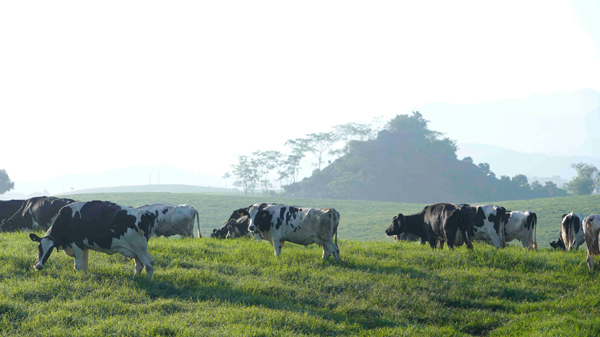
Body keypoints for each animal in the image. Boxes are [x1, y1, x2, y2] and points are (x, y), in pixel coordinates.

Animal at [28, 201, 157, 276]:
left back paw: (148, 281)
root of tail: (145, 213)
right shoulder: (84, 247)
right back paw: (136, 278)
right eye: (39, 247)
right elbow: (84, 265)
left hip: (140, 249)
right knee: (139, 266)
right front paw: (83, 276)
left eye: (50, 250)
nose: (38, 266)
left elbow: (77, 266)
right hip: (136, 251)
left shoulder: (77, 244)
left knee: (149, 264)